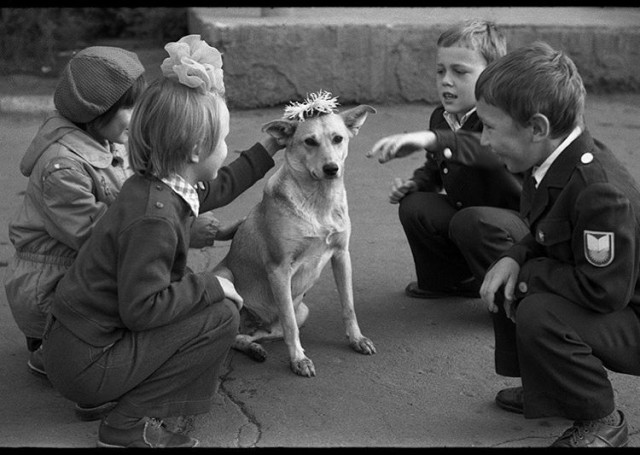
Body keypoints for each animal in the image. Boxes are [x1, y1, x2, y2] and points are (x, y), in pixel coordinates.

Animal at [215, 92, 376, 378]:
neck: (319, 202)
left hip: (302, 312)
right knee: (238, 334)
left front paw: (357, 339)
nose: (331, 168)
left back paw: (255, 348)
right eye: (309, 141)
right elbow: (290, 325)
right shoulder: (279, 269)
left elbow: (348, 306)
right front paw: (299, 360)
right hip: (225, 277)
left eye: (338, 138)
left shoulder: (342, 255)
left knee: (252, 335)